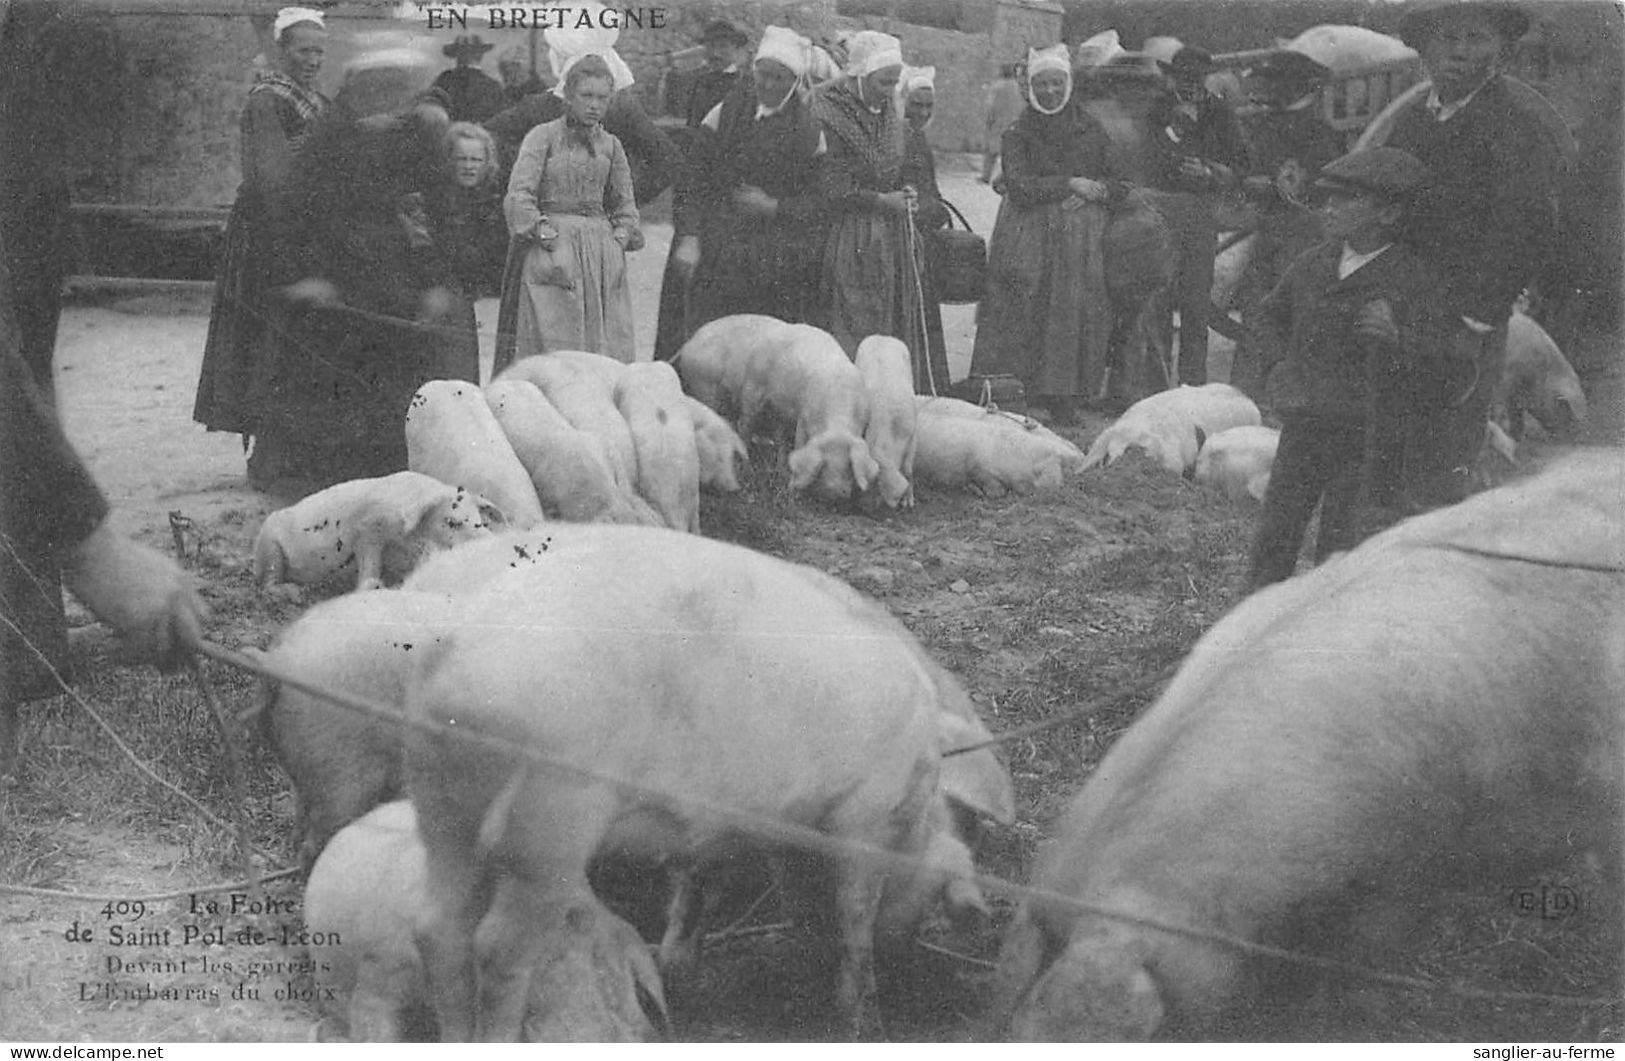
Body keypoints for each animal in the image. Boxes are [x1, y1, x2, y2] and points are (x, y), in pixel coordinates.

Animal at [406, 526, 962, 1039]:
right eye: (937, 890)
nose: (912, 965)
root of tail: (452, 657)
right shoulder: (868, 815)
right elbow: (856, 917)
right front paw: (867, 1022)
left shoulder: (735, 822)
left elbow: (706, 880)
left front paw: (683, 966)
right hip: (548, 821)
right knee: (497, 946)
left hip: (441, 807)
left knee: (438, 928)